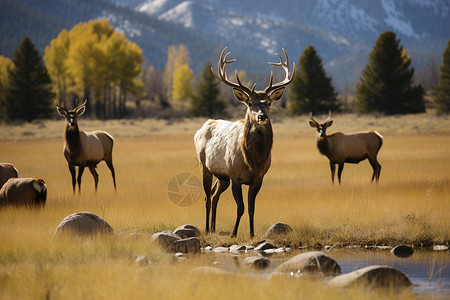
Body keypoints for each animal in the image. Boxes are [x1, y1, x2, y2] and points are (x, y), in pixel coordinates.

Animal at [194, 47, 296, 237]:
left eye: (268, 102)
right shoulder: (235, 175)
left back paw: (213, 228)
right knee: (206, 196)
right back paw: (206, 229)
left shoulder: (258, 177)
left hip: (222, 176)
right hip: (204, 166)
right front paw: (234, 233)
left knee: (214, 195)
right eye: (250, 102)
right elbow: (240, 207)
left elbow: (251, 208)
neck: (252, 160)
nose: (262, 116)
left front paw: (252, 234)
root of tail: (202, 128)